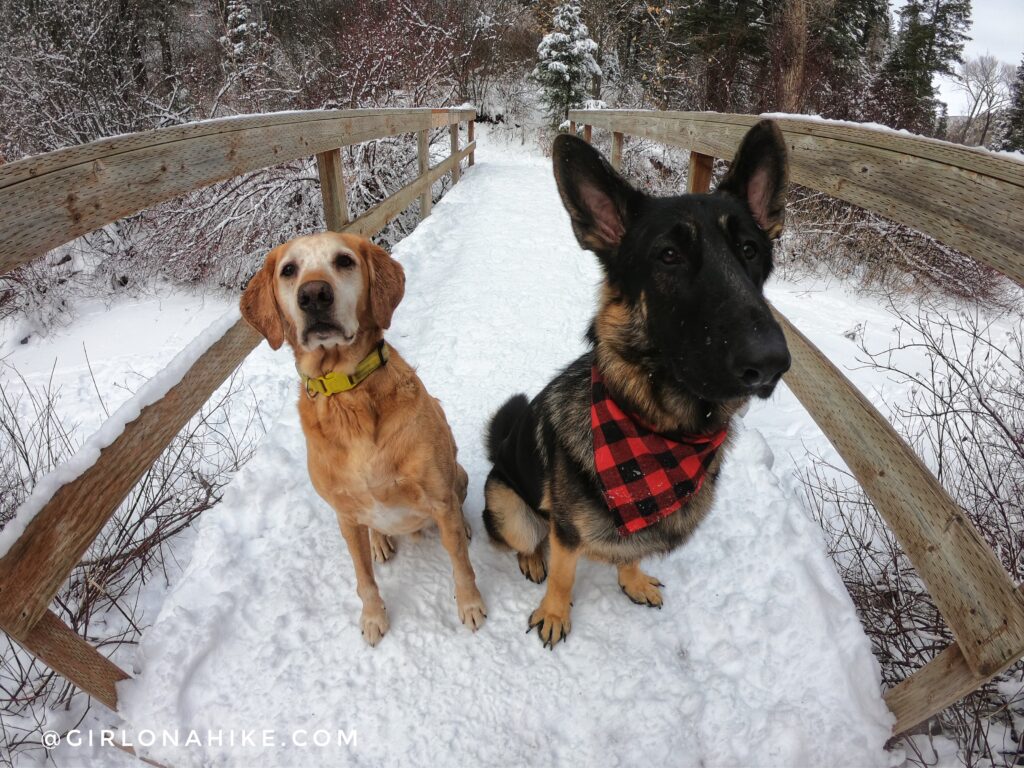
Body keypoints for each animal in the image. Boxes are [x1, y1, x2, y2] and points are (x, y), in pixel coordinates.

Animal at [481, 120, 790, 651]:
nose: (772, 362)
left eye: (750, 250)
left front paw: (631, 580)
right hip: (508, 505)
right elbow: (564, 572)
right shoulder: (566, 529)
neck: (659, 435)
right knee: (521, 539)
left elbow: (633, 553)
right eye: (668, 256)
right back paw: (530, 557)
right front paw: (555, 613)